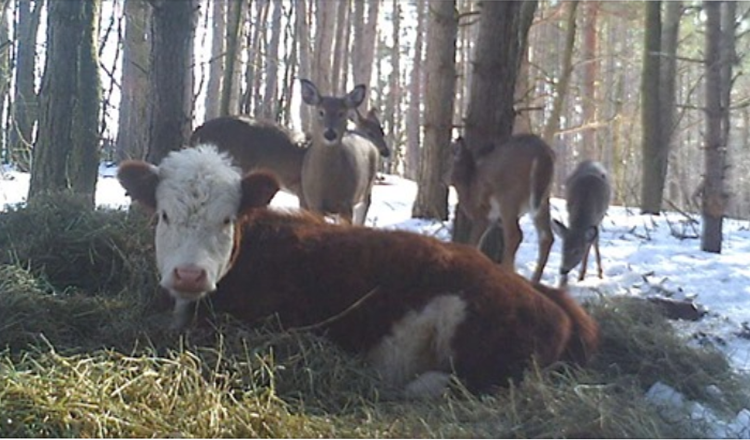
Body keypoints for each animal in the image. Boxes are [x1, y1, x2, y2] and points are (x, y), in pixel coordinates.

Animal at [298, 77, 384, 225]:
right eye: (321, 112)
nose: (330, 134)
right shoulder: (313, 203)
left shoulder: (346, 202)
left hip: (365, 191)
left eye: (341, 113)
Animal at [446, 134, 560, 284]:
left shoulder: (483, 214)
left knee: (515, 235)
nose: (443, 179)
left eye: (449, 159)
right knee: (546, 237)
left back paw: (509, 273)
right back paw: (533, 281)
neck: (469, 186)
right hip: (543, 199)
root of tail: (543, 153)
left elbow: (473, 242)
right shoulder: (492, 219)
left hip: (508, 197)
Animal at [552, 160, 612, 288]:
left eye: (577, 251)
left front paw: (585, 275)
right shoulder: (570, 213)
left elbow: (591, 245)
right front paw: (563, 282)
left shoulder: (597, 218)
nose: (563, 270)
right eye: (563, 248)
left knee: (594, 242)